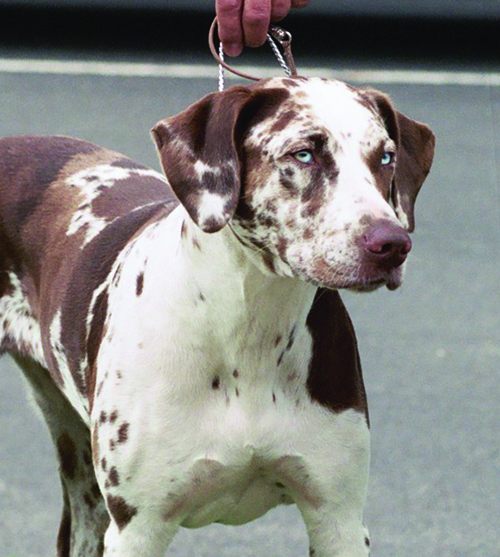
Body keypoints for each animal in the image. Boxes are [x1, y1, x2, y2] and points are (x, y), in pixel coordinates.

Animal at [0, 75, 434, 556]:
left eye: (385, 157)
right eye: (303, 153)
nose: (391, 244)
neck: (251, 333)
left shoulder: (338, 519)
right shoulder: (138, 529)